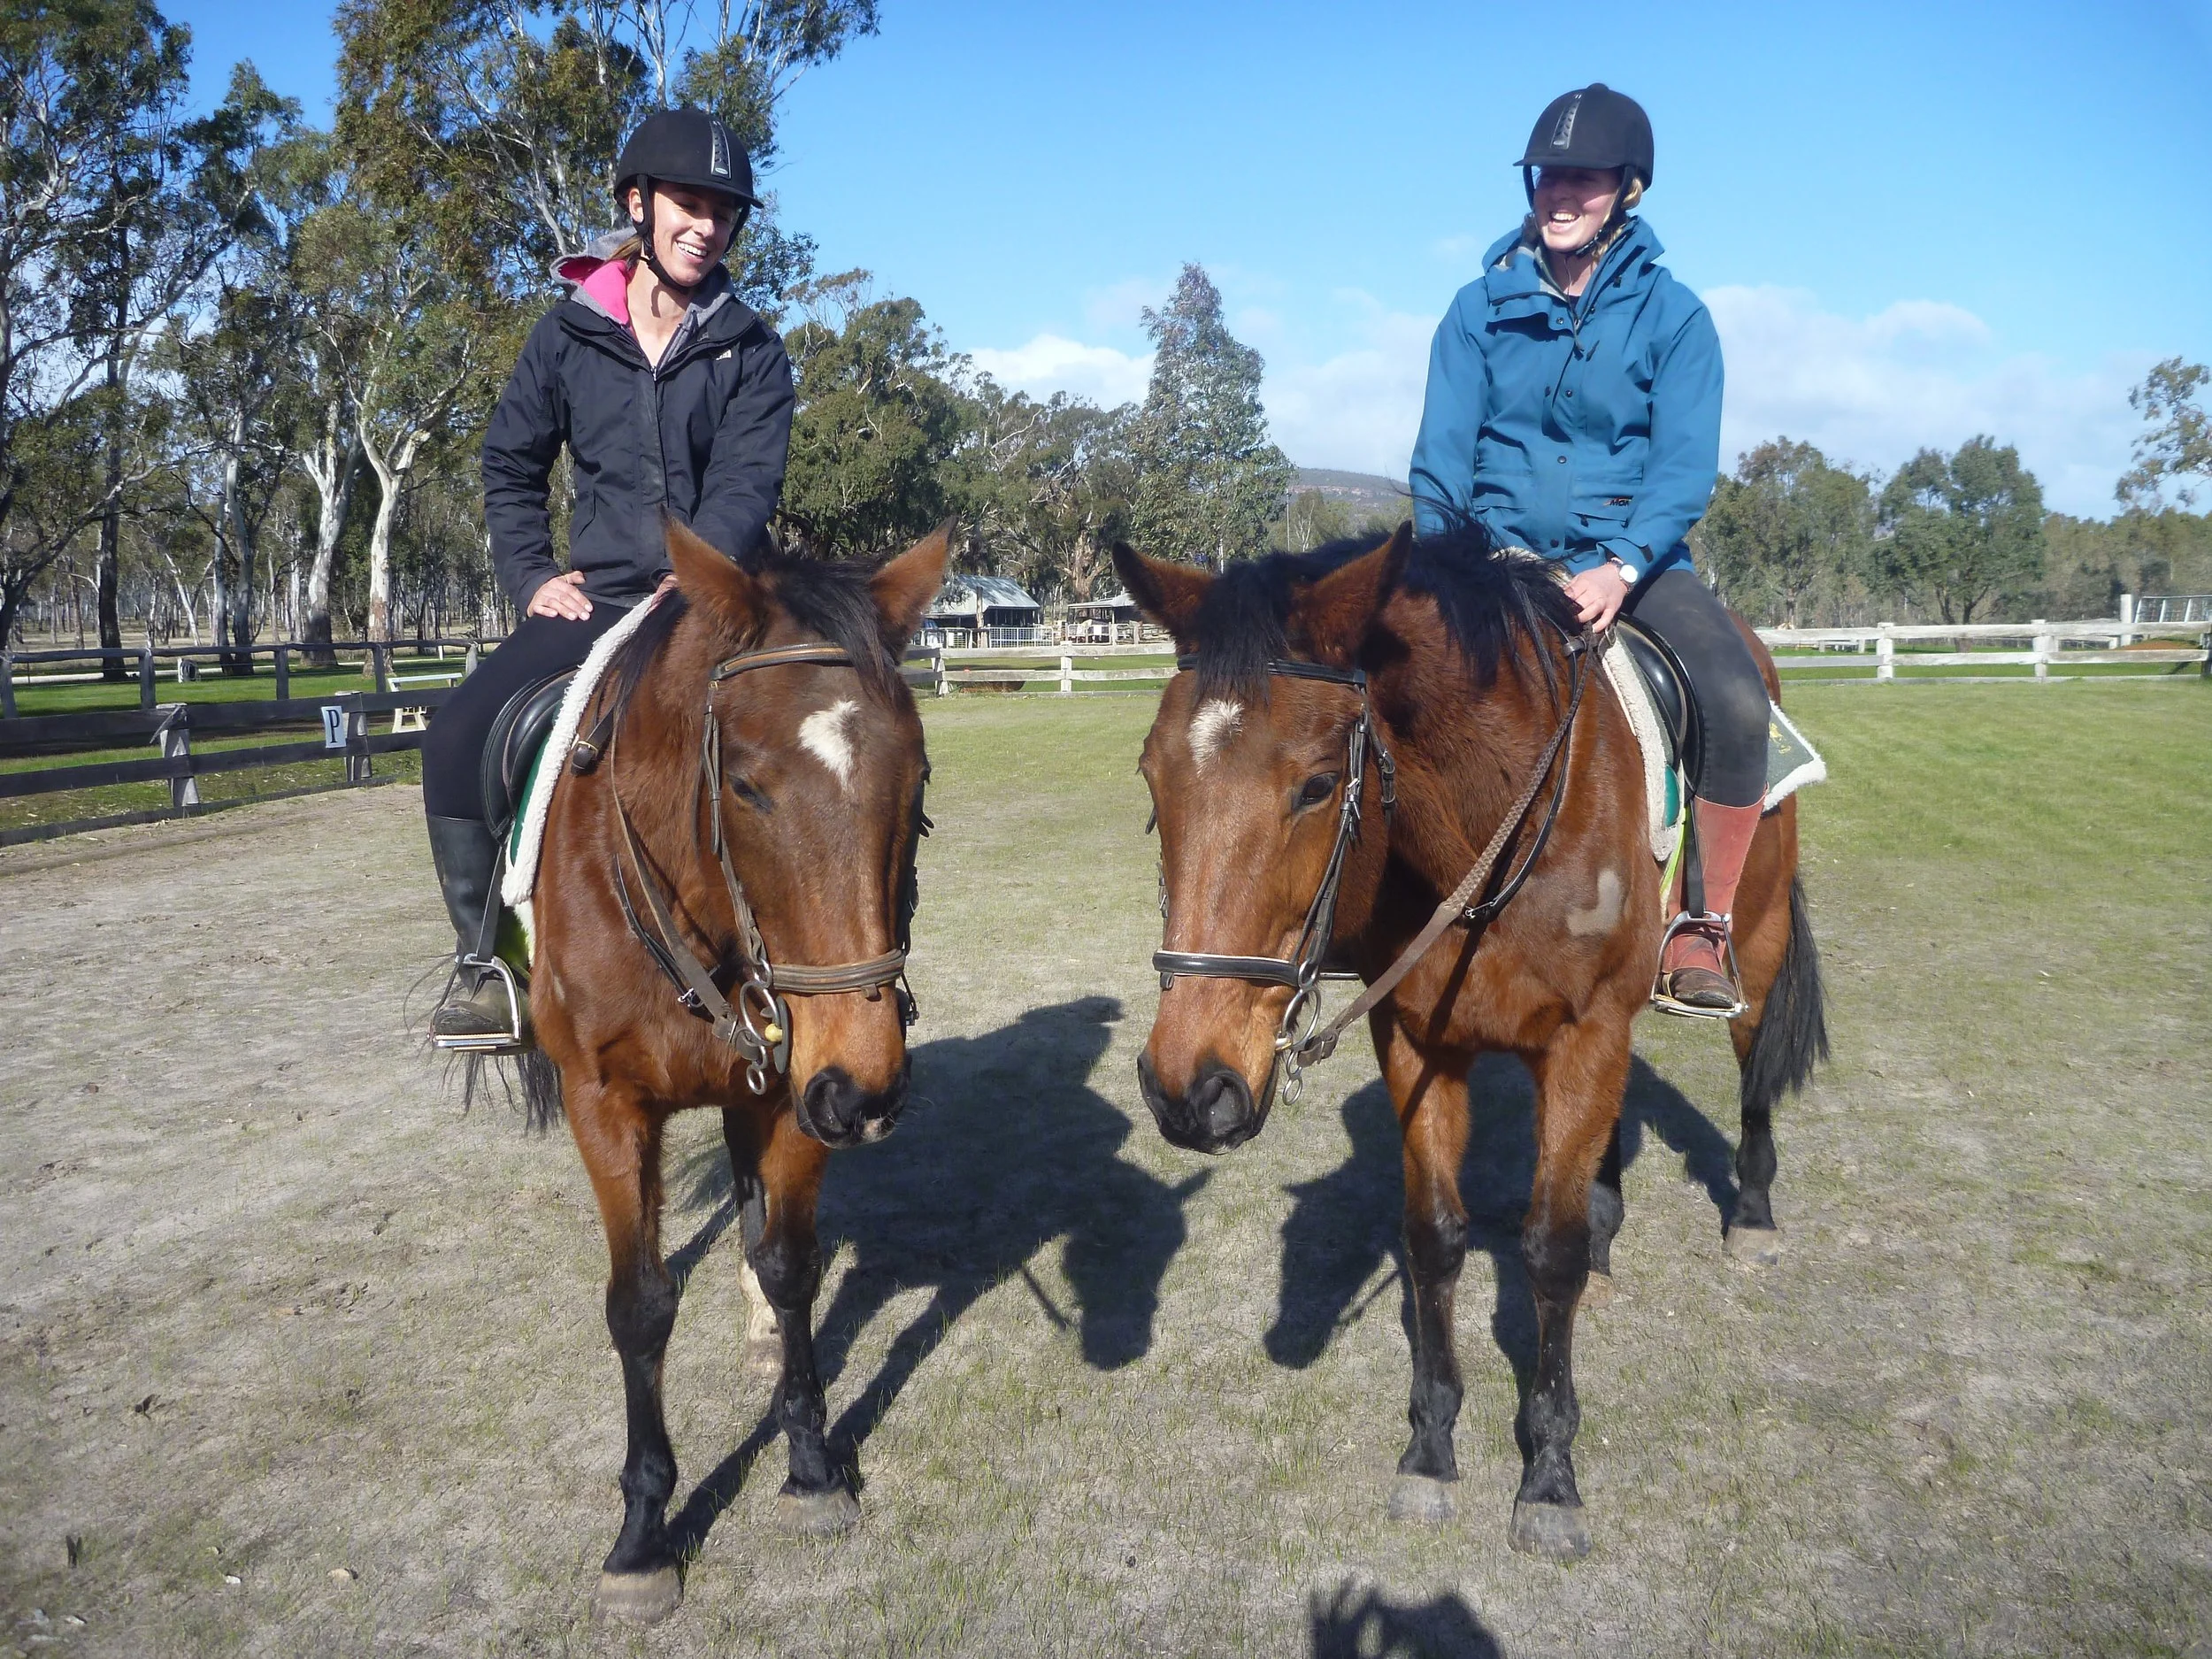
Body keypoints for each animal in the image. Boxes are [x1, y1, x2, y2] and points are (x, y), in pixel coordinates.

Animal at [512, 519, 945, 1622]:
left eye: (916, 777)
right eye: (745, 784)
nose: (866, 1093)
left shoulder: (794, 1096)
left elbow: (791, 1266)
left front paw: (810, 1467)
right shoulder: (605, 1107)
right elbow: (639, 1305)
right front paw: (641, 1536)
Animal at [1112, 523, 1827, 1561]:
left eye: (1317, 786)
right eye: (1152, 776)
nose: (1188, 1090)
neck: (1493, 825)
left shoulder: (1582, 1038)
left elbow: (1548, 1251)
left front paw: (1550, 1473)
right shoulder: (1420, 1045)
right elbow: (1436, 1238)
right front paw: (1430, 1447)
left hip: (1757, 943)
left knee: (1751, 1062)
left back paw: (1755, 1212)